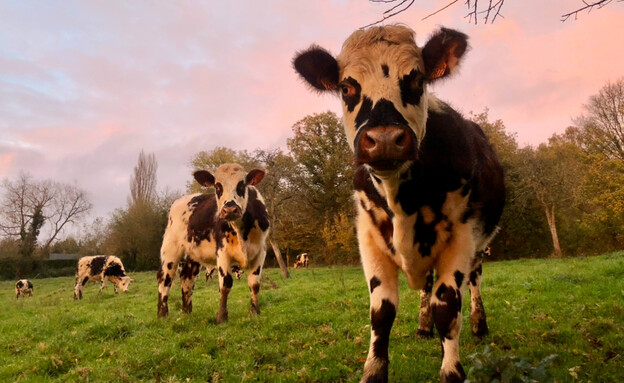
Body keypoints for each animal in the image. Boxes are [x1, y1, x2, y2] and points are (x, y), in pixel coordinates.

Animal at [157, 164, 270, 322]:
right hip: (170, 248)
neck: (241, 231)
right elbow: (226, 283)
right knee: (165, 277)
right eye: (217, 186)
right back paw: (162, 314)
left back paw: (187, 312)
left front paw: (255, 311)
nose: (230, 209)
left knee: (187, 277)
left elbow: (254, 283)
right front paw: (222, 316)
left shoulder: (261, 251)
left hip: (193, 253)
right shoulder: (222, 251)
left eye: (242, 184)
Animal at [294, 25, 508, 382]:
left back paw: (479, 325)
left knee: (474, 282)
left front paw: (452, 369)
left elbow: (447, 308)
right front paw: (373, 371)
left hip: (479, 245)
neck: (402, 204)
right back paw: (423, 328)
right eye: (346, 87)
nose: (383, 140)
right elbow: (382, 313)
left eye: (417, 80)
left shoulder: (462, 236)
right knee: (427, 287)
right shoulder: (369, 237)